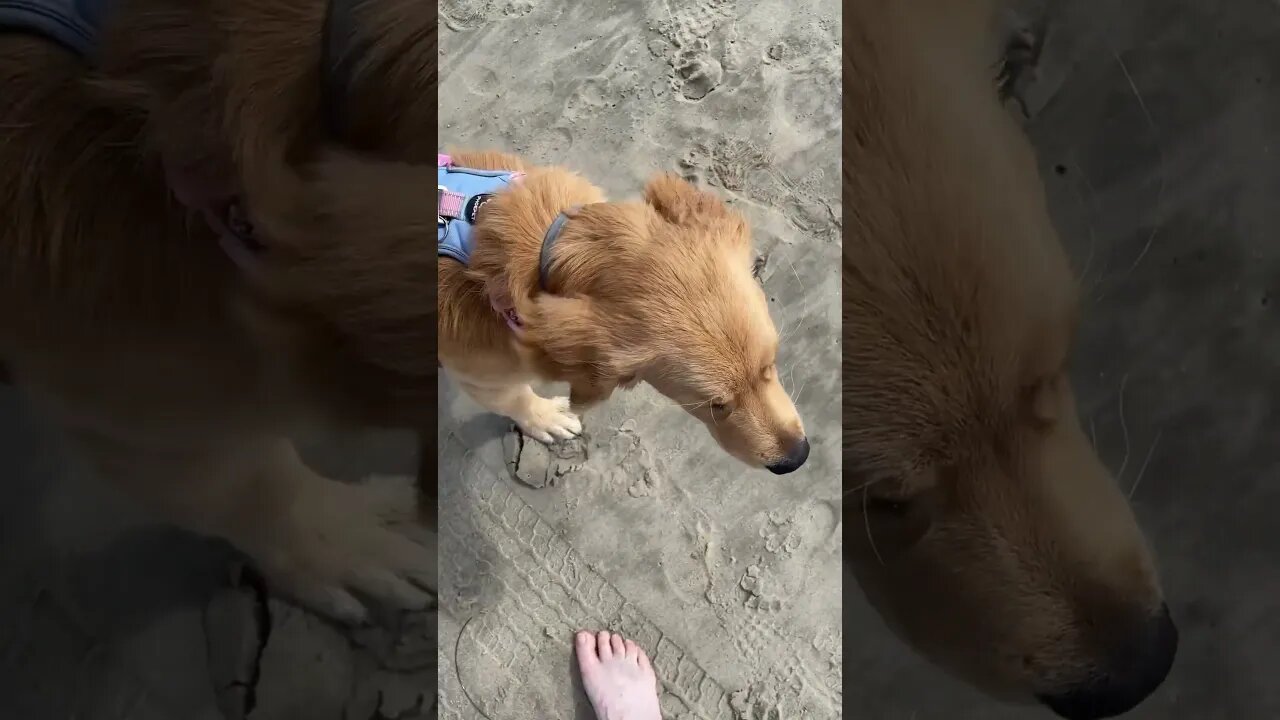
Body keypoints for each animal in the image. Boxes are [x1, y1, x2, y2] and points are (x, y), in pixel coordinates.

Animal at [435, 149, 803, 474]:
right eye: (716, 406)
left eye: (770, 365)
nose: (797, 458)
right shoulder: (480, 375)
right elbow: (514, 399)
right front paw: (546, 418)